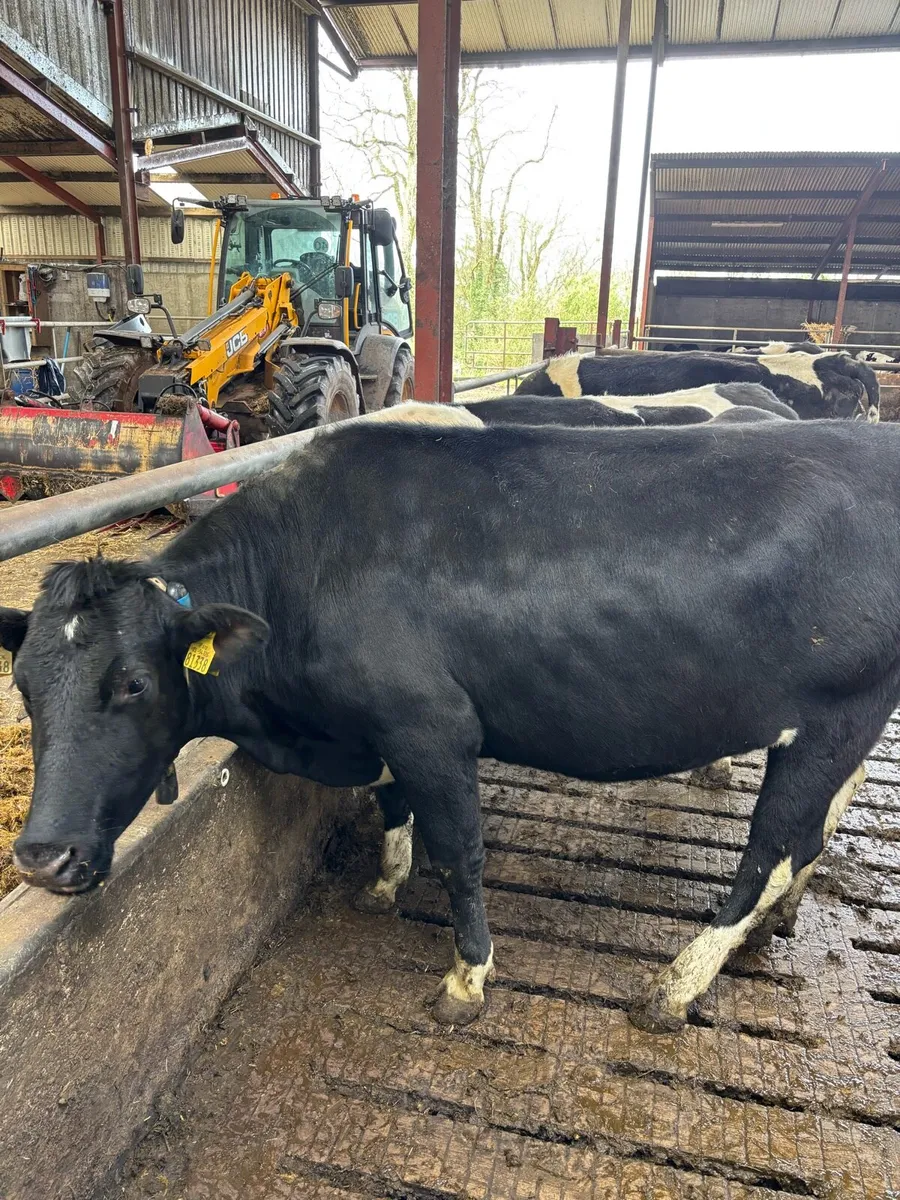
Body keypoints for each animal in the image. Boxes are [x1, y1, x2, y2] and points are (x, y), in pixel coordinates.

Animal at [4, 418, 896, 1037]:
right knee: (812, 836)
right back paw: (772, 927)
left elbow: (462, 851)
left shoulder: (431, 725)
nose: (42, 858)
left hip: (834, 716)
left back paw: (676, 985)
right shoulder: (385, 730)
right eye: (23, 688)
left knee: (773, 852)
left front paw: (467, 979)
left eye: (133, 682)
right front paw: (385, 884)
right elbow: (394, 808)